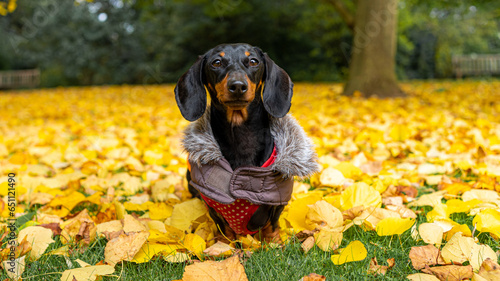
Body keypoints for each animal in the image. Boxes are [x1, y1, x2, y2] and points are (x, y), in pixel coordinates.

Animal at [174, 42, 318, 240]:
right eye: (216, 62)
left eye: (253, 61)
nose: (237, 86)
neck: (240, 135)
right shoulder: (212, 203)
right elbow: (223, 226)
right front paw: (223, 243)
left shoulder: (277, 200)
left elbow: (272, 224)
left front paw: (274, 242)